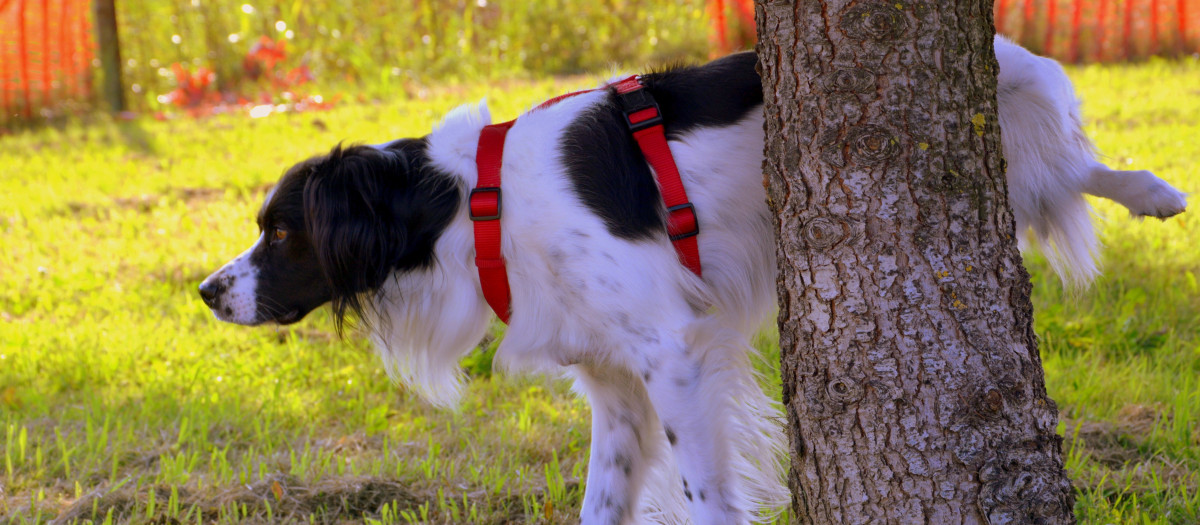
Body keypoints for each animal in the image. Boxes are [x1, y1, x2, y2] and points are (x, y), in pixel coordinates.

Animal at [201, 34, 1185, 522]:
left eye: (280, 231)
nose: (207, 292)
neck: (474, 204)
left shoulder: (672, 353)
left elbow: (707, 494)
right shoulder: (615, 385)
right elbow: (603, 503)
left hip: (1018, 114)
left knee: (1077, 161)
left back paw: (1154, 189)